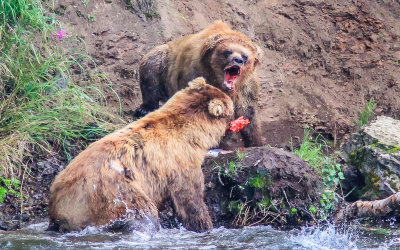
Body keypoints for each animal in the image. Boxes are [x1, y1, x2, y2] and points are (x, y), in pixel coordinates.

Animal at [47, 77, 234, 233]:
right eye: (231, 110)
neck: (192, 133)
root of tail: (60, 207)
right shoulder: (180, 160)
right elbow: (190, 197)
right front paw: (205, 225)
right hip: (113, 191)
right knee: (143, 211)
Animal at [134, 21, 262, 148]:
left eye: (245, 56)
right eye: (228, 51)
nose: (238, 60)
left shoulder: (246, 86)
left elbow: (248, 111)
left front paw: (255, 141)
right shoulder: (194, 71)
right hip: (164, 62)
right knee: (151, 68)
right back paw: (144, 109)